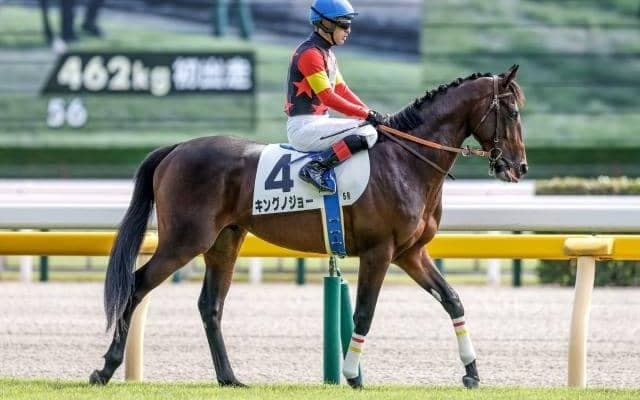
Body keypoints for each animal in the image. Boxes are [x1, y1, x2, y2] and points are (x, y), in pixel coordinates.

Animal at [89, 65, 527, 389]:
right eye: (513, 112)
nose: (518, 167)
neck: (407, 161)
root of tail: (176, 148)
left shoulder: (411, 253)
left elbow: (452, 299)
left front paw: (472, 373)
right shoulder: (379, 252)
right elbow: (364, 314)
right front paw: (351, 375)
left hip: (223, 242)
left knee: (210, 305)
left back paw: (229, 378)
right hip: (184, 241)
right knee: (135, 286)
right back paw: (105, 368)